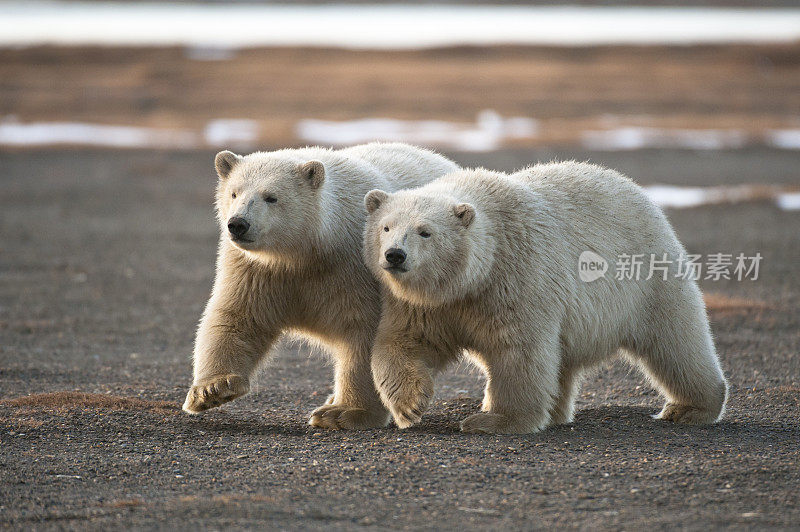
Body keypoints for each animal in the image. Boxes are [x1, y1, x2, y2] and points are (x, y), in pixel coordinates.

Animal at [181, 140, 456, 428]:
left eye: (271, 197)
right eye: (234, 193)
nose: (238, 224)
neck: (310, 249)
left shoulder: (354, 270)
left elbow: (364, 333)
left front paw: (344, 413)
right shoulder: (256, 269)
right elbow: (237, 315)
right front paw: (212, 389)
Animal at [366, 164, 728, 434]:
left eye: (425, 231)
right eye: (386, 227)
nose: (395, 255)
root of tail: (639, 192)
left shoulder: (517, 275)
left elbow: (519, 349)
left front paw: (494, 420)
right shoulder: (425, 303)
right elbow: (401, 341)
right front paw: (410, 406)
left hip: (647, 278)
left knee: (675, 340)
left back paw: (689, 408)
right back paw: (556, 412)